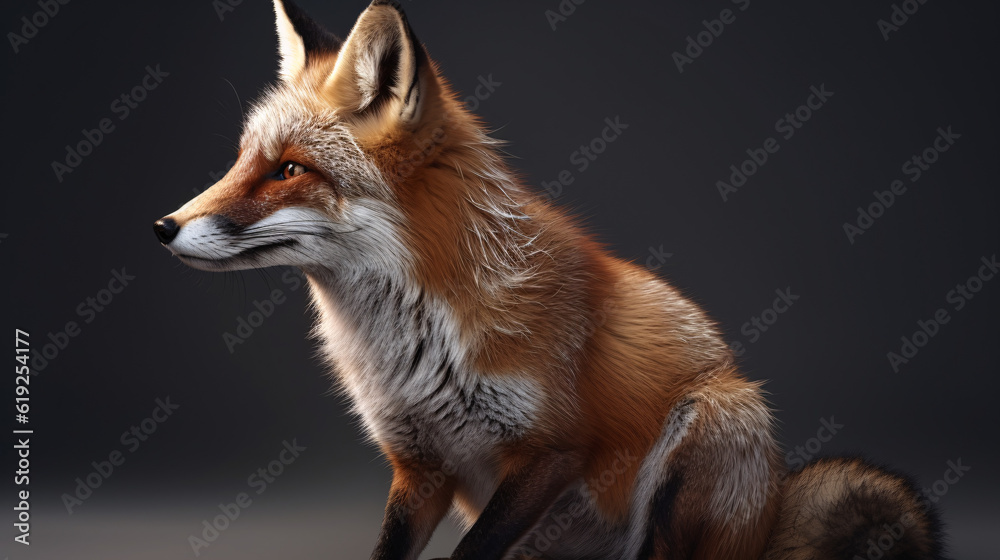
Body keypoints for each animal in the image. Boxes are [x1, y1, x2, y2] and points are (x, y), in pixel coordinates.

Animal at [154, 2, 947, 559]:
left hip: (718, 416)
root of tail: (773, 514)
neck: (412, 339)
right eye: (241, 160)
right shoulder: (419, 468)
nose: (162, 226)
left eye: (289, 169)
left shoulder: (550, 451)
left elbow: (471, 552)